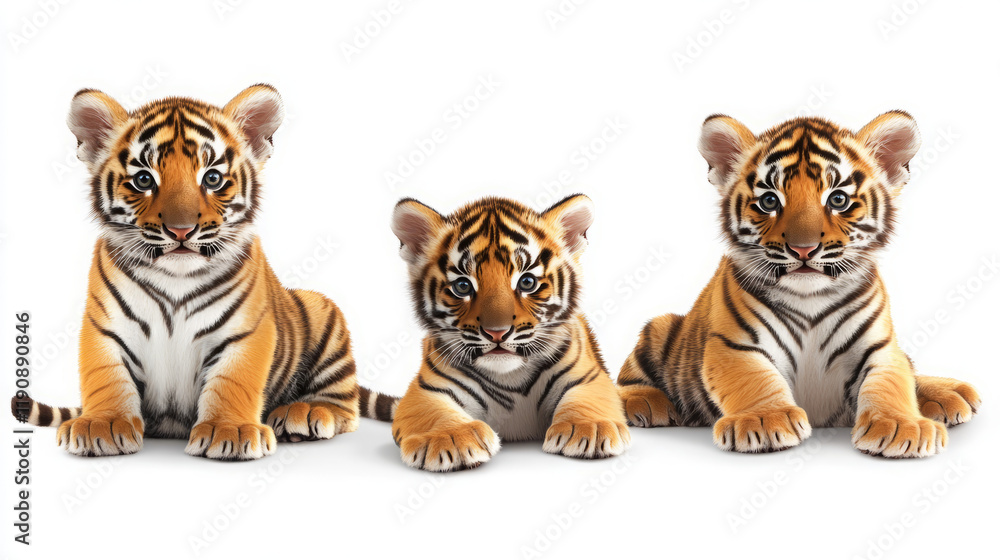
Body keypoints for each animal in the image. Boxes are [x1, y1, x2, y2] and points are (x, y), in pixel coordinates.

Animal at [9, 85, 376, 460]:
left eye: (211, 178)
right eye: (143, 179)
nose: (181, 230)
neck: (176, 280)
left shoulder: (244, 333)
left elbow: (233, 380)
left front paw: (230, 431)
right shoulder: (105, 327)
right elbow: (105, 375)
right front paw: (102, 424)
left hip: (324, 313)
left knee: (344, 405)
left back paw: (304, 413)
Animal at [385, 195, 630, 472]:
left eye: (527, 282)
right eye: (463, 286)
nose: (497, 333)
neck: (509, 377)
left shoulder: (589, 377)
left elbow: (586, 400)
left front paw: (591, 428)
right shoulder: (425, 390)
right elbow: (433, 412)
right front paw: (450, 438)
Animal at [617, 111, 981, 458]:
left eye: (838, 199)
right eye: (769, 201)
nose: (803, 249)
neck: (811, 298)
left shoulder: (880, 348)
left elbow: (891, 382)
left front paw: (902, 426)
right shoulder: (735, 345)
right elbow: (753, 378)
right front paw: (765, 420)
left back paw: (951, 393)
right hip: (659, 329)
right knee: (627, 376)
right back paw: (645, 402)